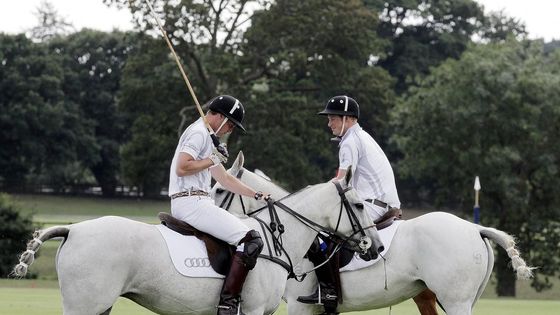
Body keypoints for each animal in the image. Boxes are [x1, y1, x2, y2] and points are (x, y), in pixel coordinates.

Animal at [14, 169, 380, 314]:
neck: (280, 236)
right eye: (360, 205)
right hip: (84, 305)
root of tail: (73, 230)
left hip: (98, 305)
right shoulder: (253, 310)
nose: (375, 246)